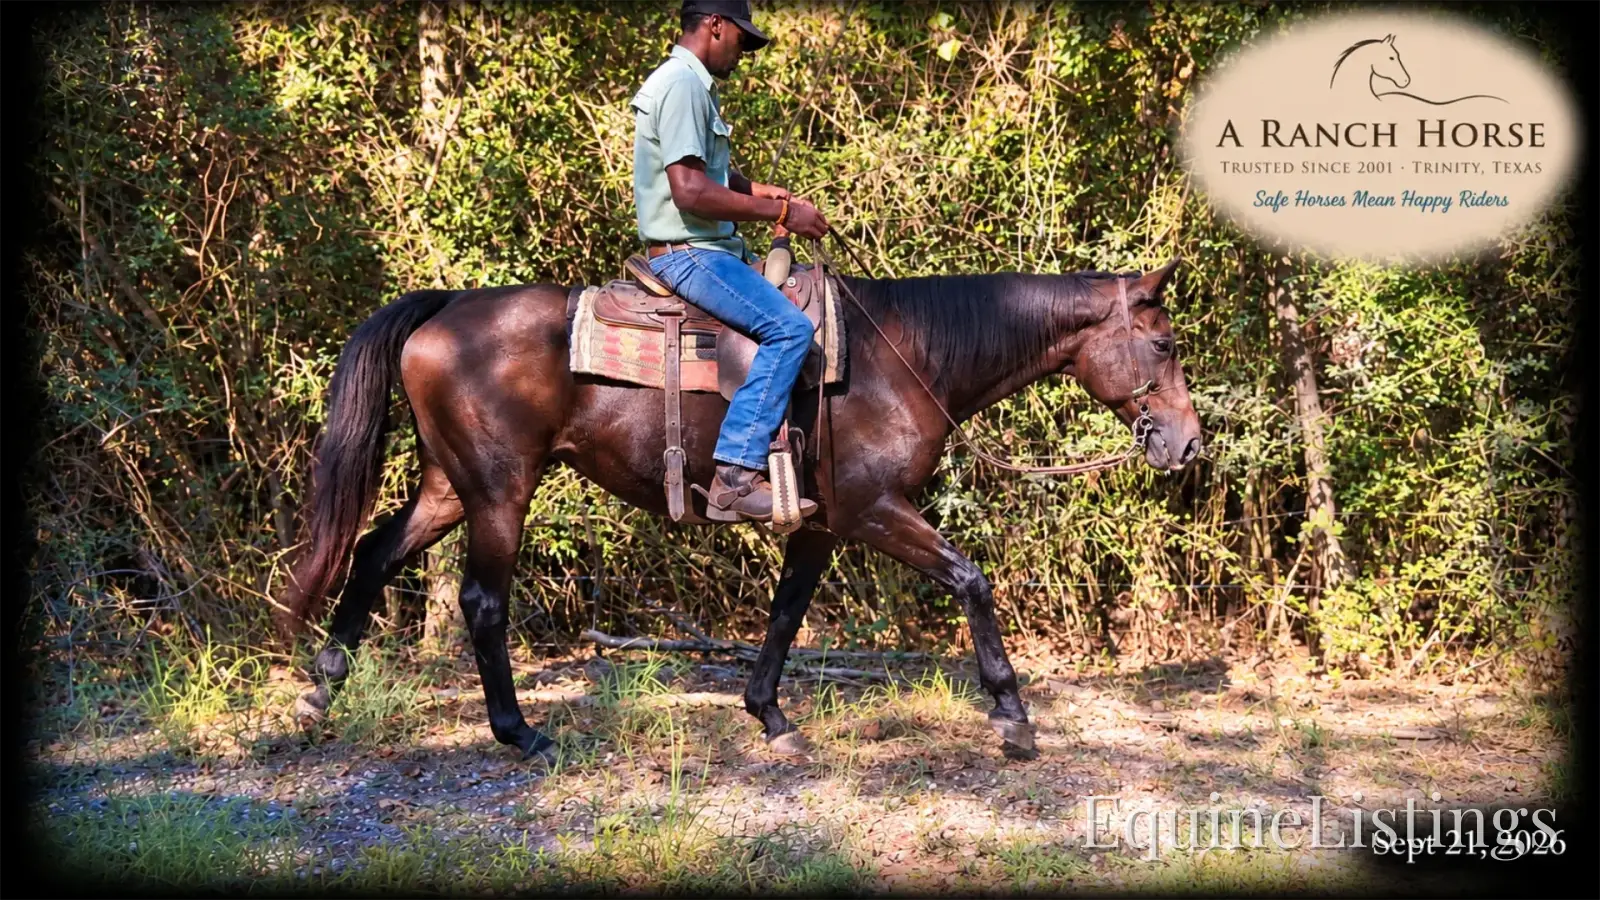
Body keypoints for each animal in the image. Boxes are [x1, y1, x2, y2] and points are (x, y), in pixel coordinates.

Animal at [273, 249, 1204, 763]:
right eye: (1162, 343)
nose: (1189, 444)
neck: (902, 356)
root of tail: (447, 307)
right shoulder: (873, 509)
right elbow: (971, 580)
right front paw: (1012, 719)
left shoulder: (822, 524)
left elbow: (786, 615)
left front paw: (771, 718)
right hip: (500, 488)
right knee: (482, 601)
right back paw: (519, 733)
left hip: (447, 483)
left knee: (373, 553)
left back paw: (320, 696)